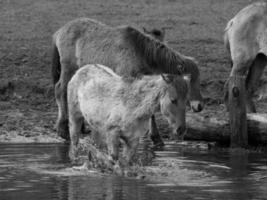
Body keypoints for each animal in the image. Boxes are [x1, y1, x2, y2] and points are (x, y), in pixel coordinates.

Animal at [51, 18, 203, 141]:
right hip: (68, 70)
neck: (139, 52)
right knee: (60, 90)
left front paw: (155, 137)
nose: (199, 106)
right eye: (173, 100)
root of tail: (60, 31)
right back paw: (62, 130)